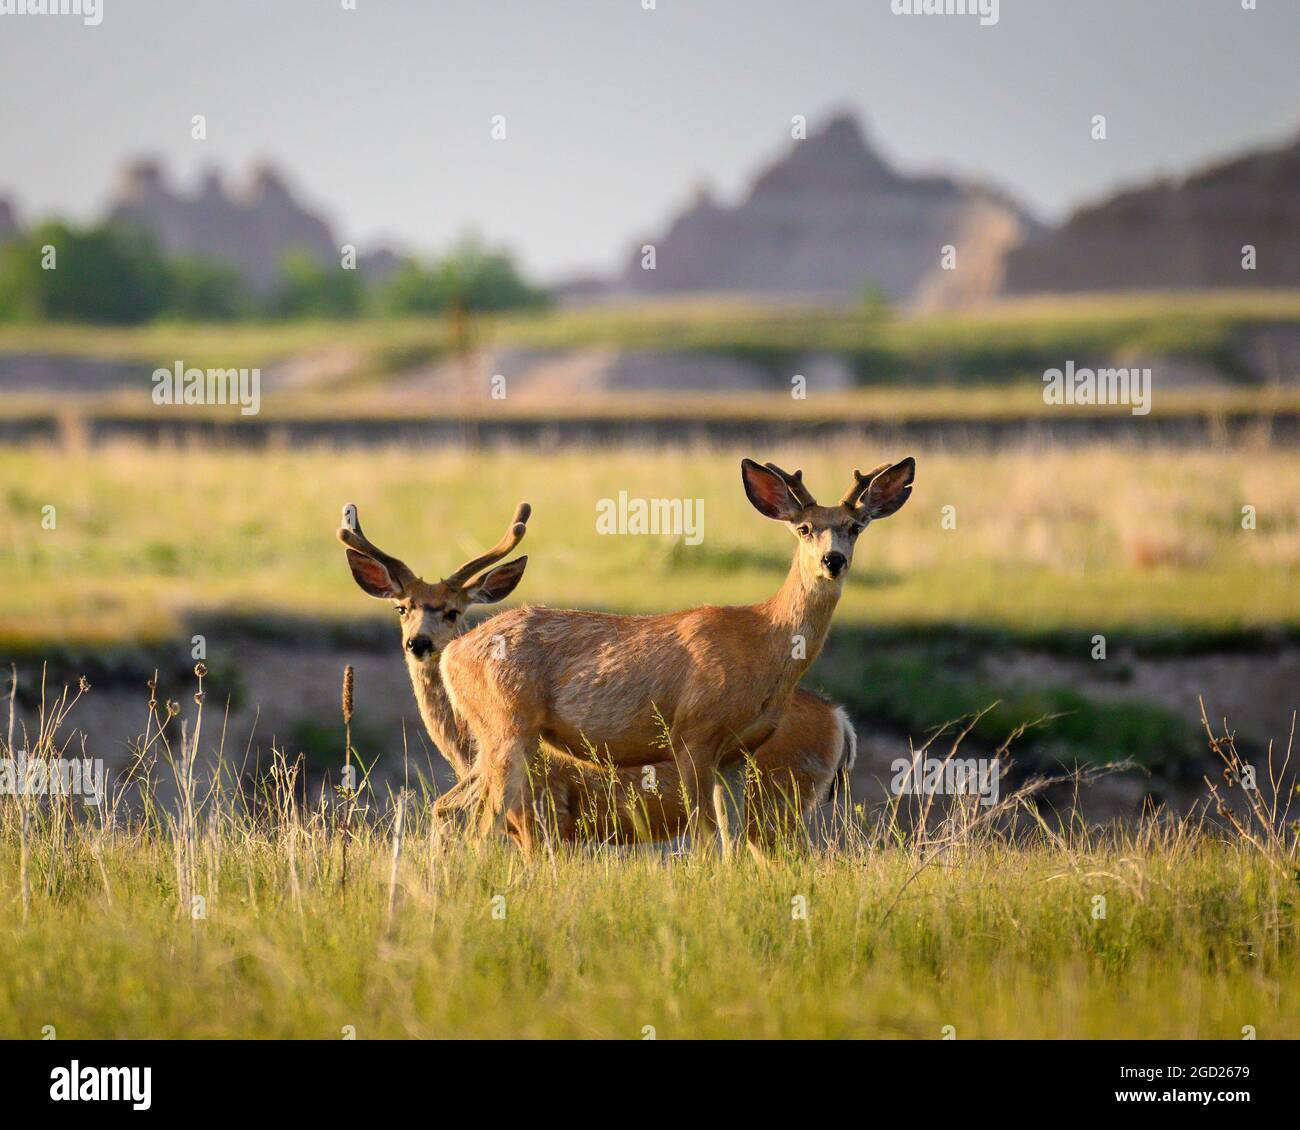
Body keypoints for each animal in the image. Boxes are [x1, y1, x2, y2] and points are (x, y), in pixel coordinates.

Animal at [337, 500, 859, 847]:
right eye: (402, 607)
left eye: (451, 610)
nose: (419, 643)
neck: (463, 750)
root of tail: (840, 718)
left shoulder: (550, 815)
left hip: (777, 797)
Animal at [435, 457, 915, 848]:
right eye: (804, 528)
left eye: (855, 527)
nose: (833, 560)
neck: (764, 639)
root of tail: (451, 653)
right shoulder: (693, 734)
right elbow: (704, 834)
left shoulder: (736, 755)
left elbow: (728, 836)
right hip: (506, 726)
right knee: (483, 824)